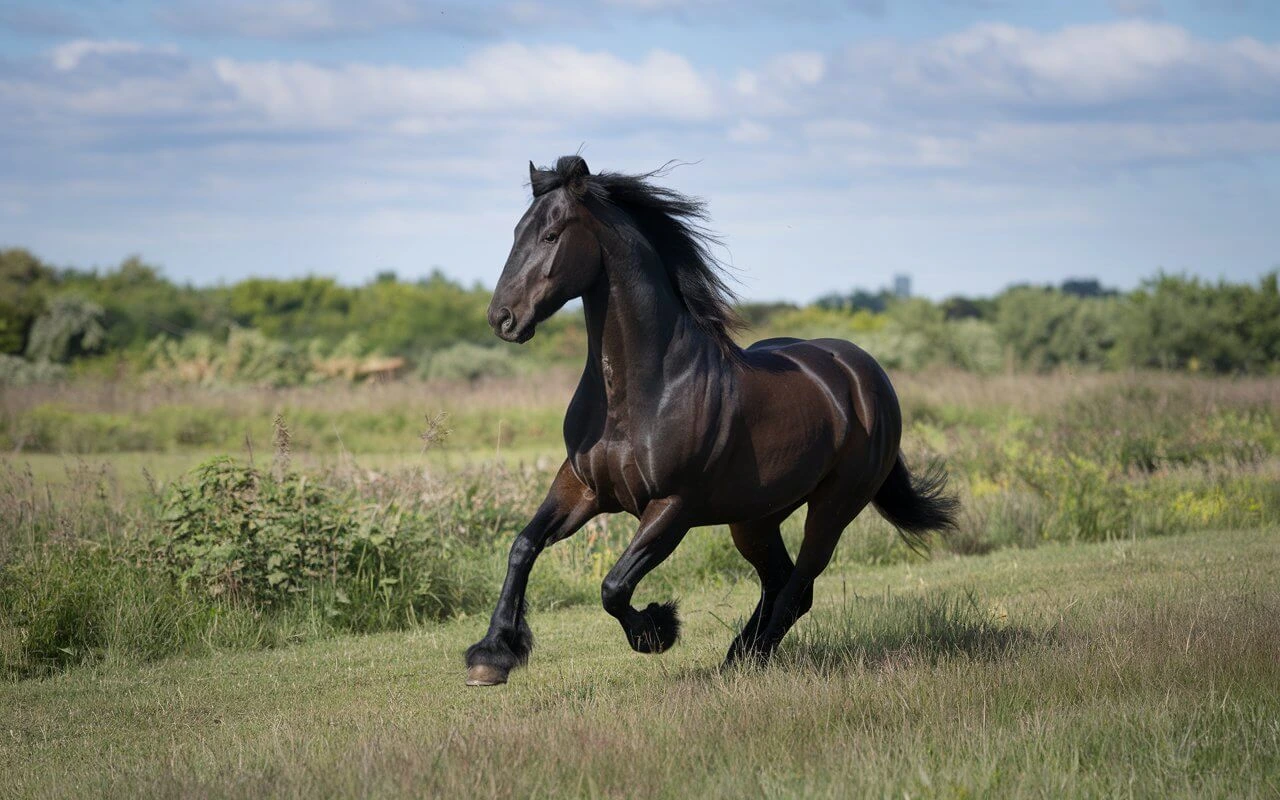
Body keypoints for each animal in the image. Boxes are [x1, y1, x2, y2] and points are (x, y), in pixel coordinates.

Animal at [465, 157, 957, 686]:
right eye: (517, 231)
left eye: (552, 234)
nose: (502, 318)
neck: (643, 390)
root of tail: (865, 373)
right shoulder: (582, 486)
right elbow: (523, 547)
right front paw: (490, 656)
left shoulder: (673, 506)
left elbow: (614, 586)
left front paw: (657, 630)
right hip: (756, 517)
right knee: (782, 582)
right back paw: (739, 655)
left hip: (833, 507)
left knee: (799, 585)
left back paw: (750, 658)